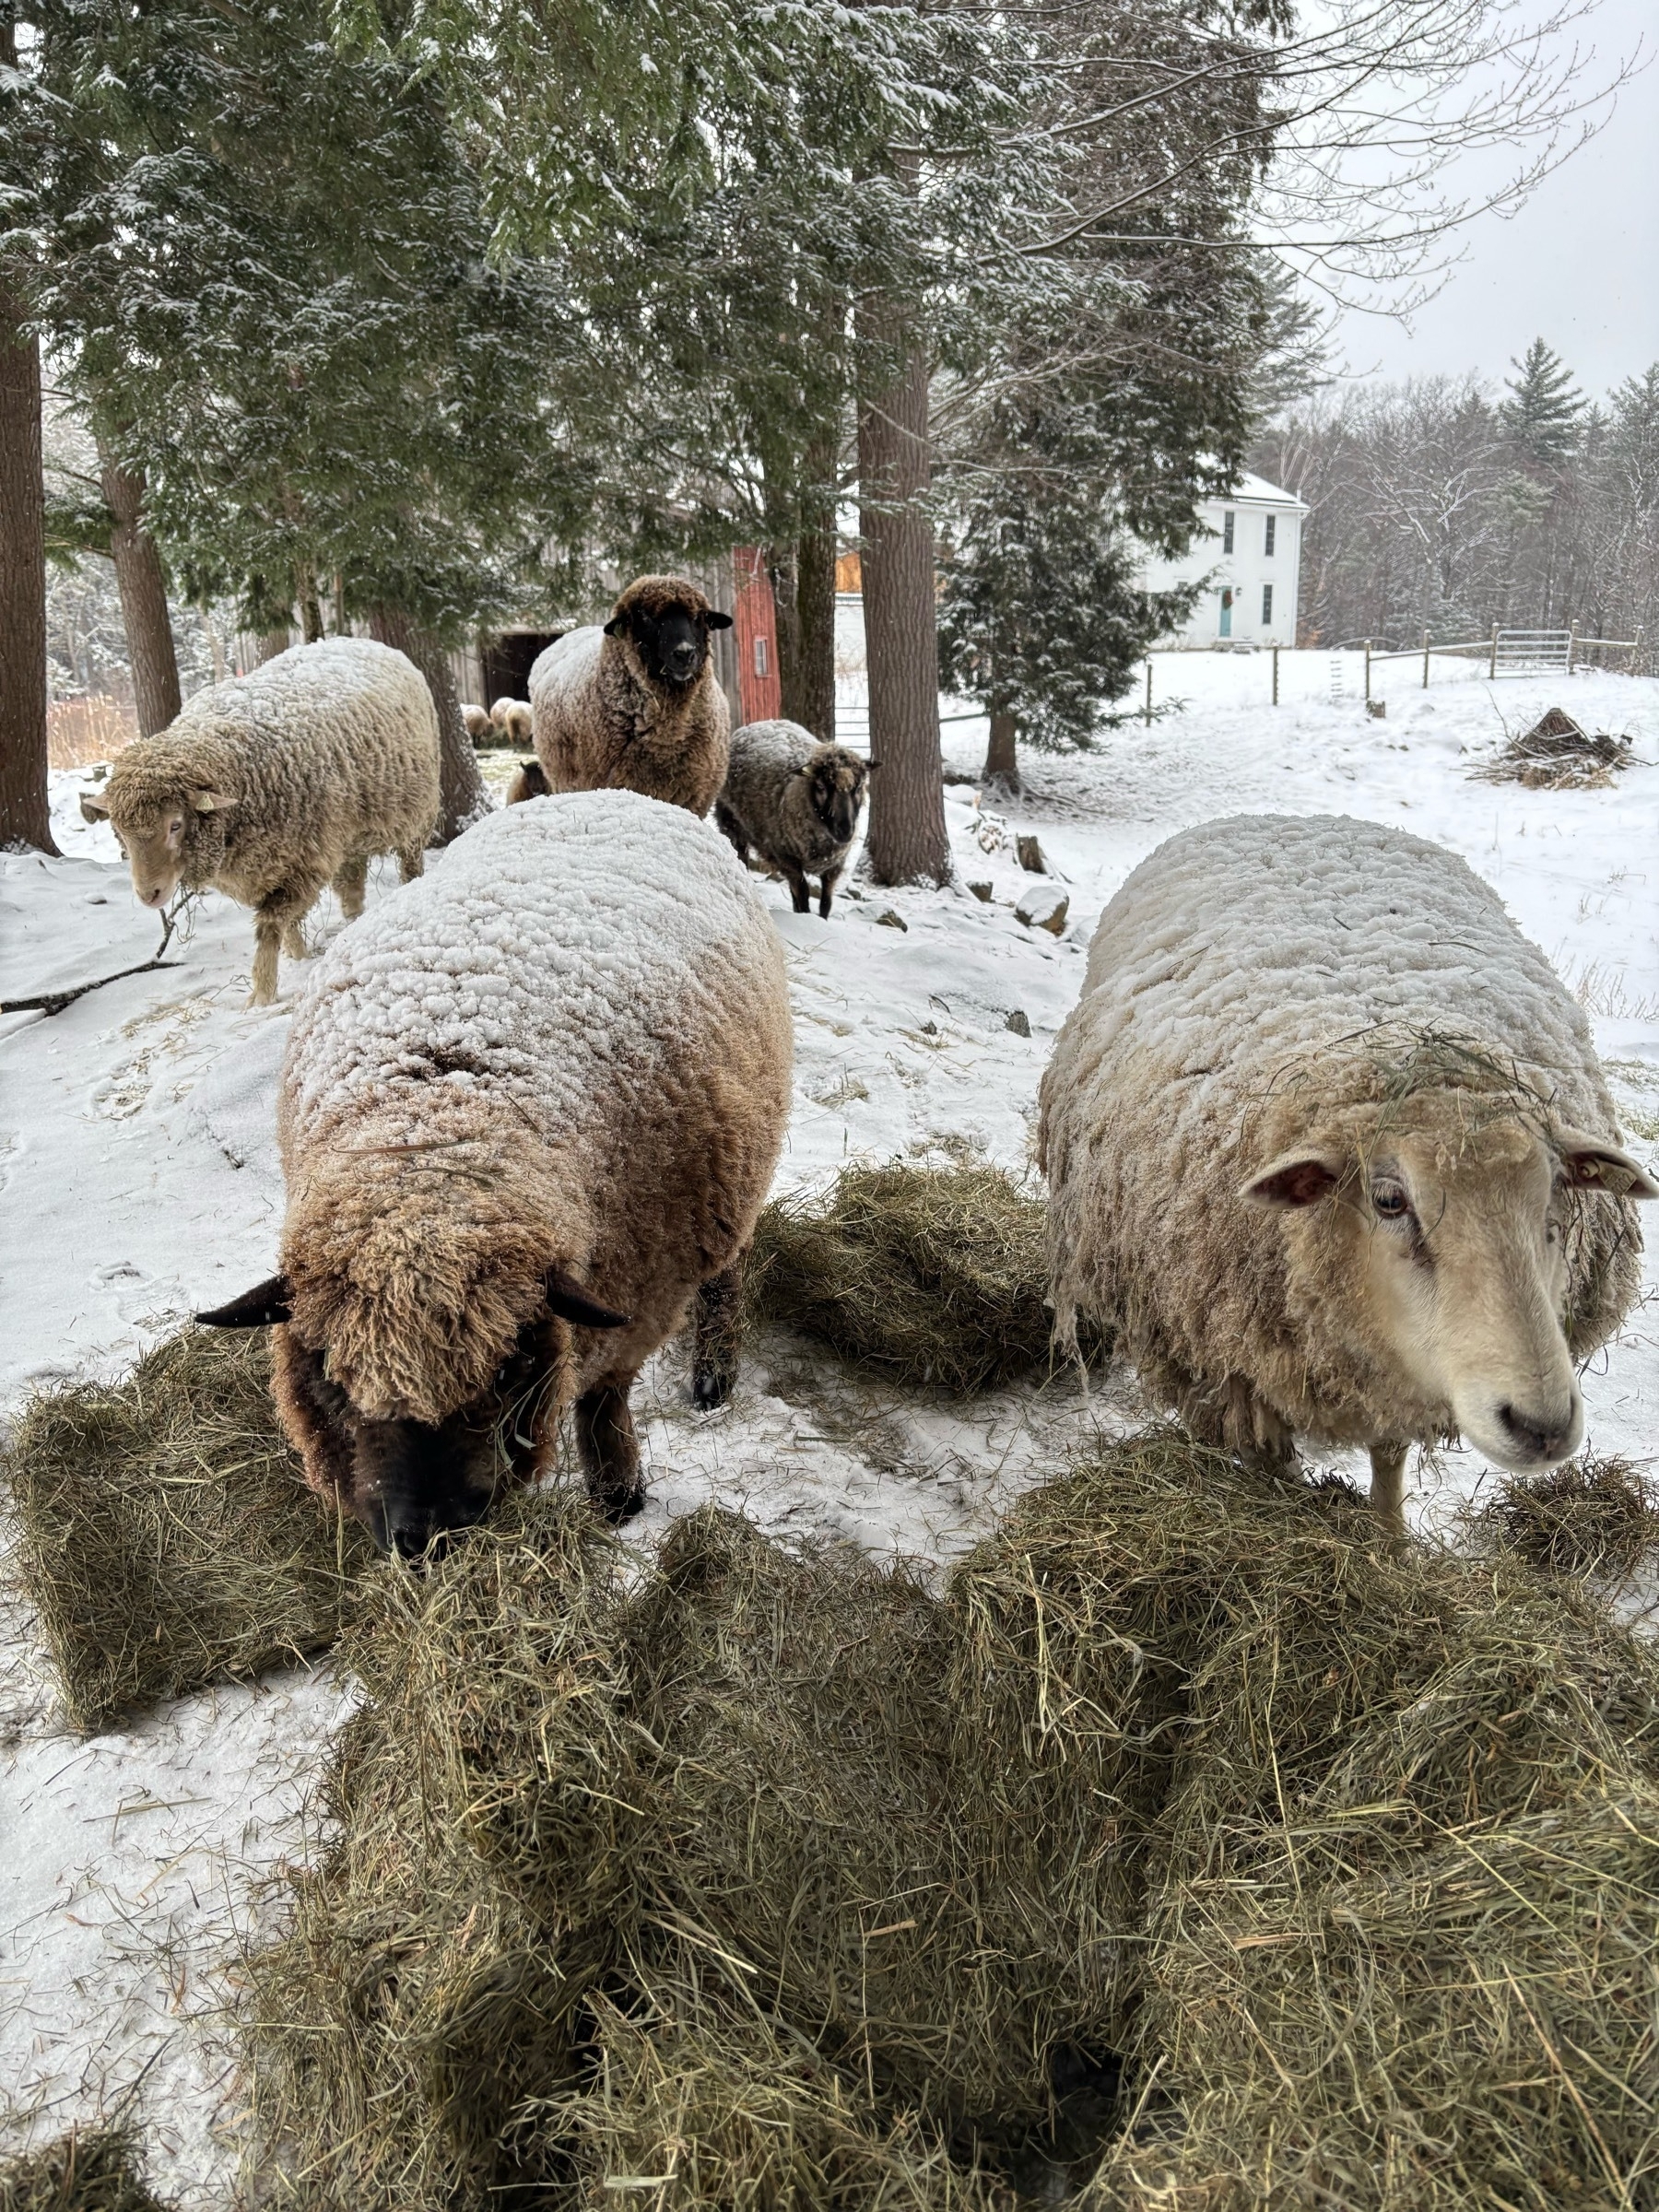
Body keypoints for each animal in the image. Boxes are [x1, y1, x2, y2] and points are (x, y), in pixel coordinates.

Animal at [81, 637, 442, 1008]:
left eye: (175, 826)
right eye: (121, 834)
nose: (148, 894)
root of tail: (366, 641)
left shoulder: (303, 862)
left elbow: (270, 926)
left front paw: (263, 994)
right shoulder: (272, 866)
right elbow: (288, 924)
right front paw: (298, 957)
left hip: (416, 816)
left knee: (409, 864)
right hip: (350, 834)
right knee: (351, 884)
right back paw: (354, 921)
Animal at [194, 792, 792, 1557]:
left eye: (506, 1369)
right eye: (330, 1370)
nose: (421, 1537)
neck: (430, 1135)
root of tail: (607, 793)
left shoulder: (639, 1292)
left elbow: (602, 1397)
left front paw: (618, 1496)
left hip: (726, 1189)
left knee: (726, 1268)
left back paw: (714, 1373)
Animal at [716, 721, 871, 920]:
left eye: (858, 788)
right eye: (821, 787)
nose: (845, 832)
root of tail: (754, 724)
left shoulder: (835, 866)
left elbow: (826, 902)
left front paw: (821, 920)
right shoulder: (787, 859)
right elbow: (804, 895)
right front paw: (805, 917)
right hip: (731, 824)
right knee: (741, 858)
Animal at [1043, 814, 1654, 1539]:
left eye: (1558, 1194)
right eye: (1389, 1200)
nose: (1542, 1426)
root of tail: (1291, 816)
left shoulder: (1390, 1369)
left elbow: (1388, 1459)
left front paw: (1389, 1543)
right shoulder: (1238, 1371)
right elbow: (1272, 1466)